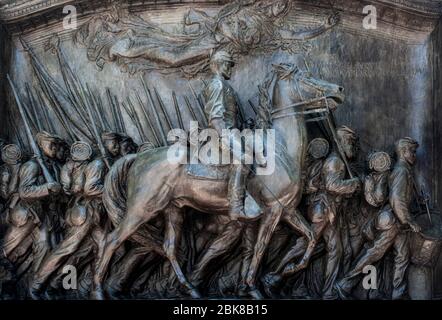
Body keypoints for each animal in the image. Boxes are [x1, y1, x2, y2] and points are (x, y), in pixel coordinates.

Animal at [93, 63, 346, 300]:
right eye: (306, 77)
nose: (339, 90)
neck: (279, 148)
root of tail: (138, 157)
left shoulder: (287, 210)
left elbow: (310, 237)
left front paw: (281, 273)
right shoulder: (273, 210)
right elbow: (260, 248)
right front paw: (255, 286)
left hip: (173, 209)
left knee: (169, 247)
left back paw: (191, 289)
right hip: (142, 208)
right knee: (111, 241)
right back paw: (98, 289)